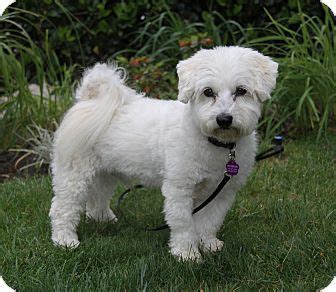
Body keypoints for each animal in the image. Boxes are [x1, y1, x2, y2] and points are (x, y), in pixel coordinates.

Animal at [48, 46, 276, 262]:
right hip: (74, 174)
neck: (214, 142)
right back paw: (65, 240)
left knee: (97, 198)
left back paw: (104, 219)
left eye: (241, 91)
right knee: (62, 207)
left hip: (104, 173)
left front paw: (209, 245)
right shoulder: (180, 189)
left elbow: (209, 222)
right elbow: (183, 224)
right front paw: (187, 254)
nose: (224, 119)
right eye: (208, 92)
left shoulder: (221, 192)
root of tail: (89, 101)